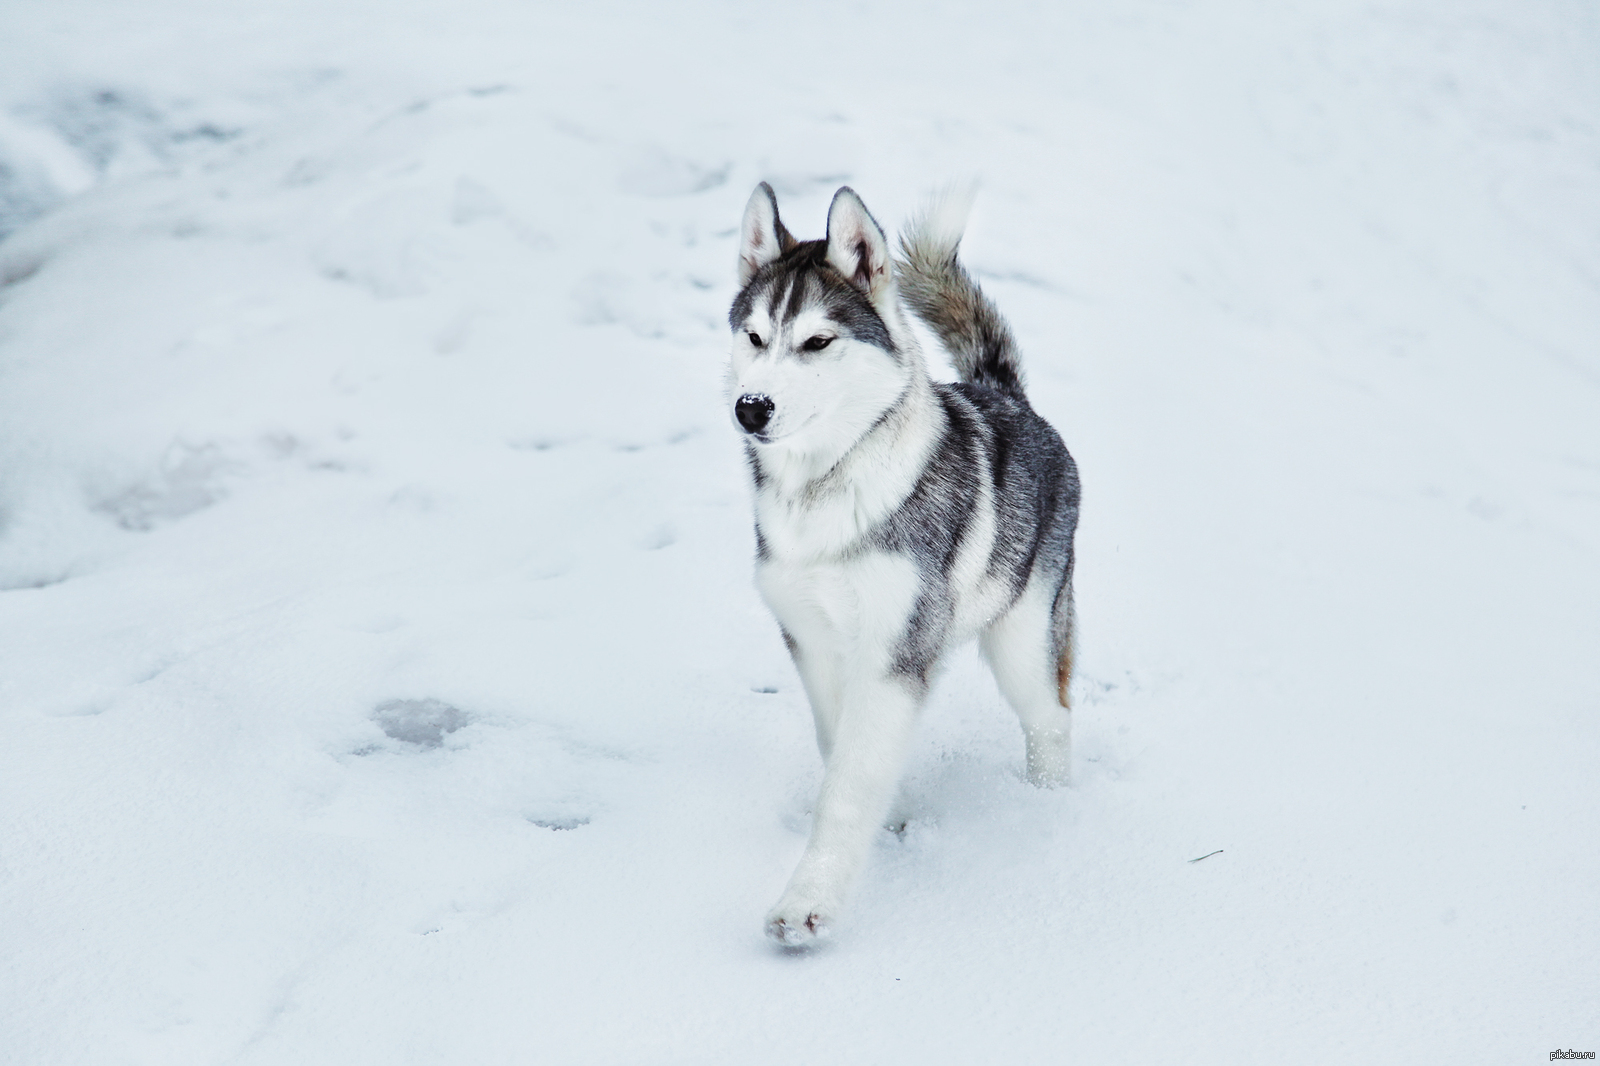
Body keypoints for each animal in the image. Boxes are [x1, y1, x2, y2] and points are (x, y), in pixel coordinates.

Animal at [732, 184, 1081, 947]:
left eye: (817, 341)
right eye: (754, 337)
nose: (751, 407)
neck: (827, 488)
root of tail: (1007, 396)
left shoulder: (895, 649)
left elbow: (849, 782)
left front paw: (808, 902)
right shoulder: (811, 640)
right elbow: (842, 747)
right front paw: (889, 820)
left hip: (1025, 635)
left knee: (1050, 717)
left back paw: (1049, 811)